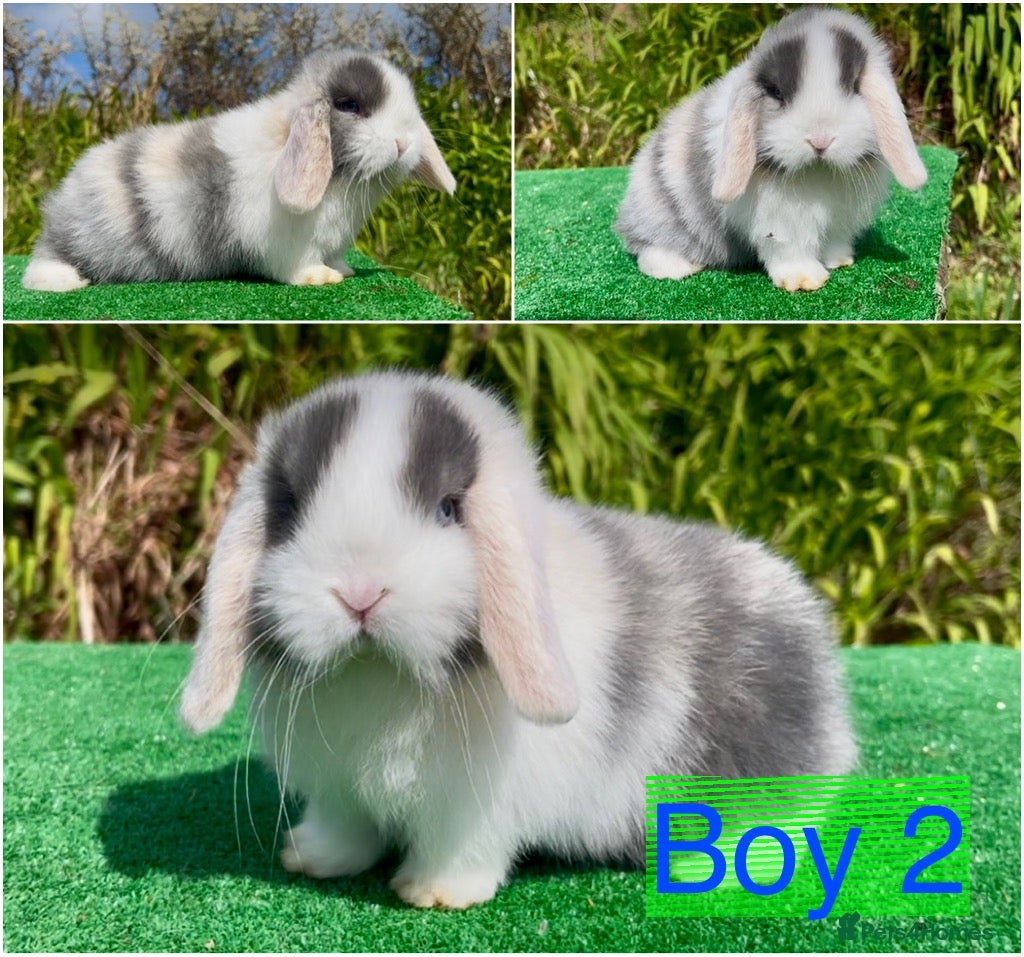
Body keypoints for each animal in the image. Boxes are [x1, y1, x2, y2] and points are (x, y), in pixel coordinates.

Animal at [22, 50, 455, 292]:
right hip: (73, 241)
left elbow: (335, 256)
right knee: (43, 262)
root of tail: (61, 199)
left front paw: (342, 270)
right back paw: (63, 284)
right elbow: (297, 265)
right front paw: (321, 278)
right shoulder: (287, 244)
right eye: (349, 106)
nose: (403, 143)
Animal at [180, 370, 857, 909]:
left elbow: (459, 849)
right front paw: (311, 860)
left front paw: (434, 894)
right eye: (291, 508)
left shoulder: (471, 808)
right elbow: (345, 829)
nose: (361, 592)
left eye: (449, 509)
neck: (379, 676)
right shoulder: (338, 790)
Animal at [615, 6, 927, 292]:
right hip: (657, 219)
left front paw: (839, 261)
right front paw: (804, 281)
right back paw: (679, 268)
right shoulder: (779, 222)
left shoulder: (841, 218)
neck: (818, 172)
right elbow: (789, 248)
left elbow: (834, 239)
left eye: (854, 86)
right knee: (647, 250)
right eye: (777, 92)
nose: (820, 140)